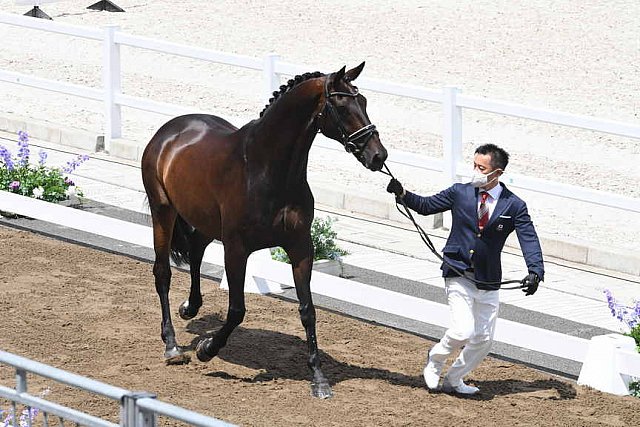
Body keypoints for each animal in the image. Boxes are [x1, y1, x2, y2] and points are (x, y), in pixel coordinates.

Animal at [142, 61, 388, 400]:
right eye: (341, 105)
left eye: (362, 101)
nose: (378, 156)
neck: (267, 168)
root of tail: (169, 131)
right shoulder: (236, 249)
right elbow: (236, 310)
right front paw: (207, 349)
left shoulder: (301, 247)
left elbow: (308, 310)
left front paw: (319, 379)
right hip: (163, 211)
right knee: (163, 272)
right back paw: (172, 345)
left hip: (206, 221)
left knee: (195, 250)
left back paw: (190, 308)